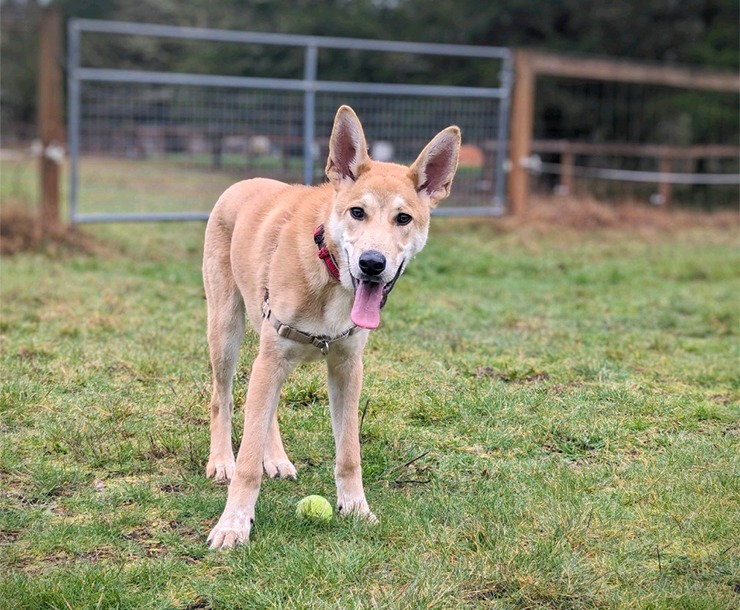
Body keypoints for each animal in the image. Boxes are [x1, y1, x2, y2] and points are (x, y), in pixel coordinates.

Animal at [201, 103, 456, 548]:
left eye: (403, 218)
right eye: (357, 212)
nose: (372, 264)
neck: (330, 274)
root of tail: (242, 182)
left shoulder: (346, 368)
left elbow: (349, 452)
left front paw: (355, 508)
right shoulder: (272, 357)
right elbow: (247, 458)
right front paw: (233, 524)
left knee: (264, 411)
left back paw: (276, 458)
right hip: (226, 331)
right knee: (224, 397)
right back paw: (221, 461)